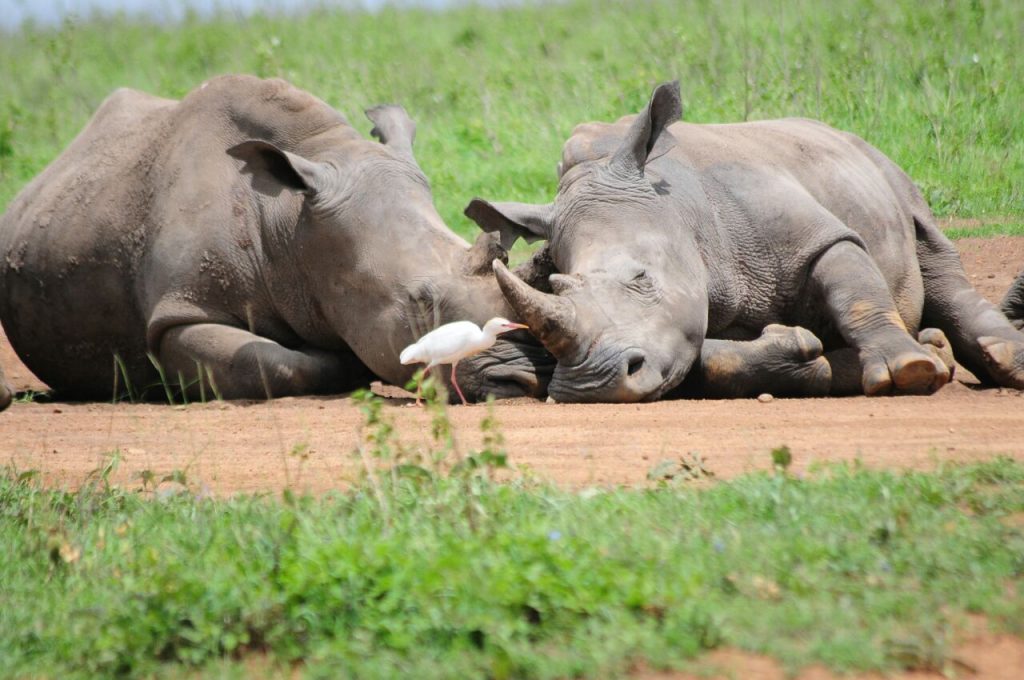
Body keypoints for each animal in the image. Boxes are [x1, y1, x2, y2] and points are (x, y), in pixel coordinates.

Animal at [0, 74, 552, 403]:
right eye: (421, 301)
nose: (522, 380)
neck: (290, 225)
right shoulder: (180, 312)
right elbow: (275, 362)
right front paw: (344, 363)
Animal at [466, 84, 1024, 403]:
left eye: (642, 279)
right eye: (557, 286)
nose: (590, 383)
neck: (681, 208)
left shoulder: (809, 233)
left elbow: (853, 282)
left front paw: (909, 371)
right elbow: (708, 357)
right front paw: (808, 354)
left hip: (884, 168)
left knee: (934, 259)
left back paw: (996, 362)